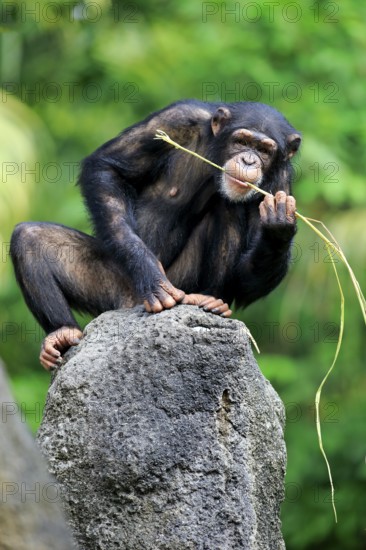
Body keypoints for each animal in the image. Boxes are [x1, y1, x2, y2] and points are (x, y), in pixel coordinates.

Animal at [10, 101, 300, 368]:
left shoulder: (281, 181)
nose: (249, 160)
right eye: (242, 141)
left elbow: (246, 279)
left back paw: (210, 300)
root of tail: (128, 304)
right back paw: (61, 334)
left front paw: (278, 225)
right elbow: (107, 168)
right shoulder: (177, 118)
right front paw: (150, 273)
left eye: (264, 150)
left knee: (228, 206)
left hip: (183, 281)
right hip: (114, 287)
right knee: (29, 237)